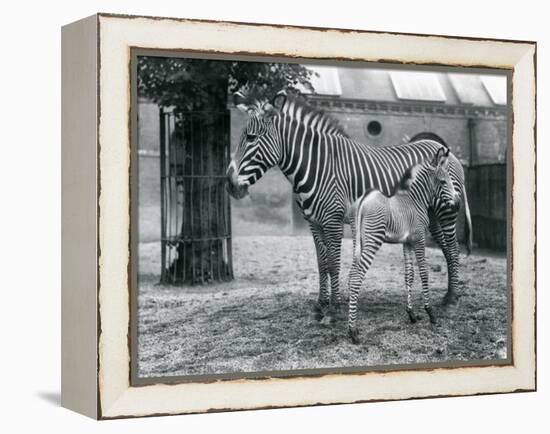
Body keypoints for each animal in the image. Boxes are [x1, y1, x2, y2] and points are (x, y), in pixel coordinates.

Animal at [229, 92, 474, 316]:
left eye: (251, 138)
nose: (230, 184)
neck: (317, 165)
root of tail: (445, 150)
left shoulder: (333, 220)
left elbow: (333, 263)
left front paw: (334, 308)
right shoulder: (313, 222)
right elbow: (321, 263)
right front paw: (321, 303)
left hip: (445, 210)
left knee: (453, 248)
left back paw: (452, 299)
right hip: (430, 214)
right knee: (446, 248)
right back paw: (447, 295)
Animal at [350, 147, 458, 344]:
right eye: (442, 181)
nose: (457, 205)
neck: (415, 200)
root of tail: (364, 198)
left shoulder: (407, 242)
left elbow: (409, 275)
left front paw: (412, 314)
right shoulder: (419, 238)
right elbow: (424, 273)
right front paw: (430, 312)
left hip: (358, 241)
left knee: (351, 275)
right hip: (372, 240)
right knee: (356, 278)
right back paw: (352, 331)